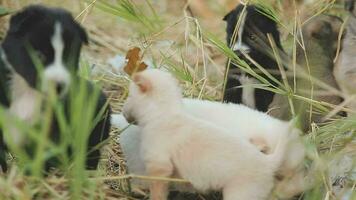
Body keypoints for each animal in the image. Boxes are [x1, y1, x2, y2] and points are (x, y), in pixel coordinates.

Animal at [121, 69, 294, 200]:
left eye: (130, 95)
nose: (122, 112)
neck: (163, 113)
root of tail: (268, 161)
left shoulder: (159, 165)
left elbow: (158, 191)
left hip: (240, 194)